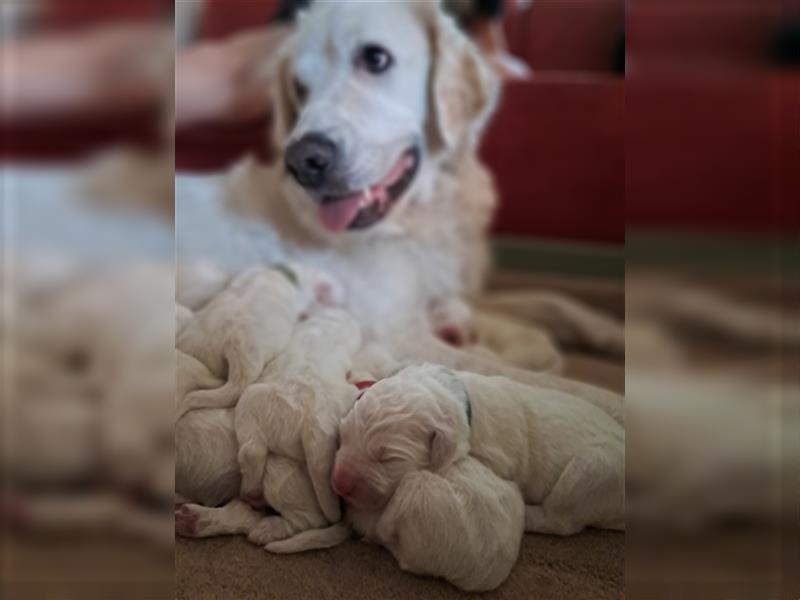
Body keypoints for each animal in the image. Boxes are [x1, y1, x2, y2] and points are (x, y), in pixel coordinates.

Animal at [332, 360, 624, 536]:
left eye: (389, 459)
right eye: (342, 436)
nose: (339, 484)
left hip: (592, 471)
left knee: (561, 520)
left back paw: (527, 514)